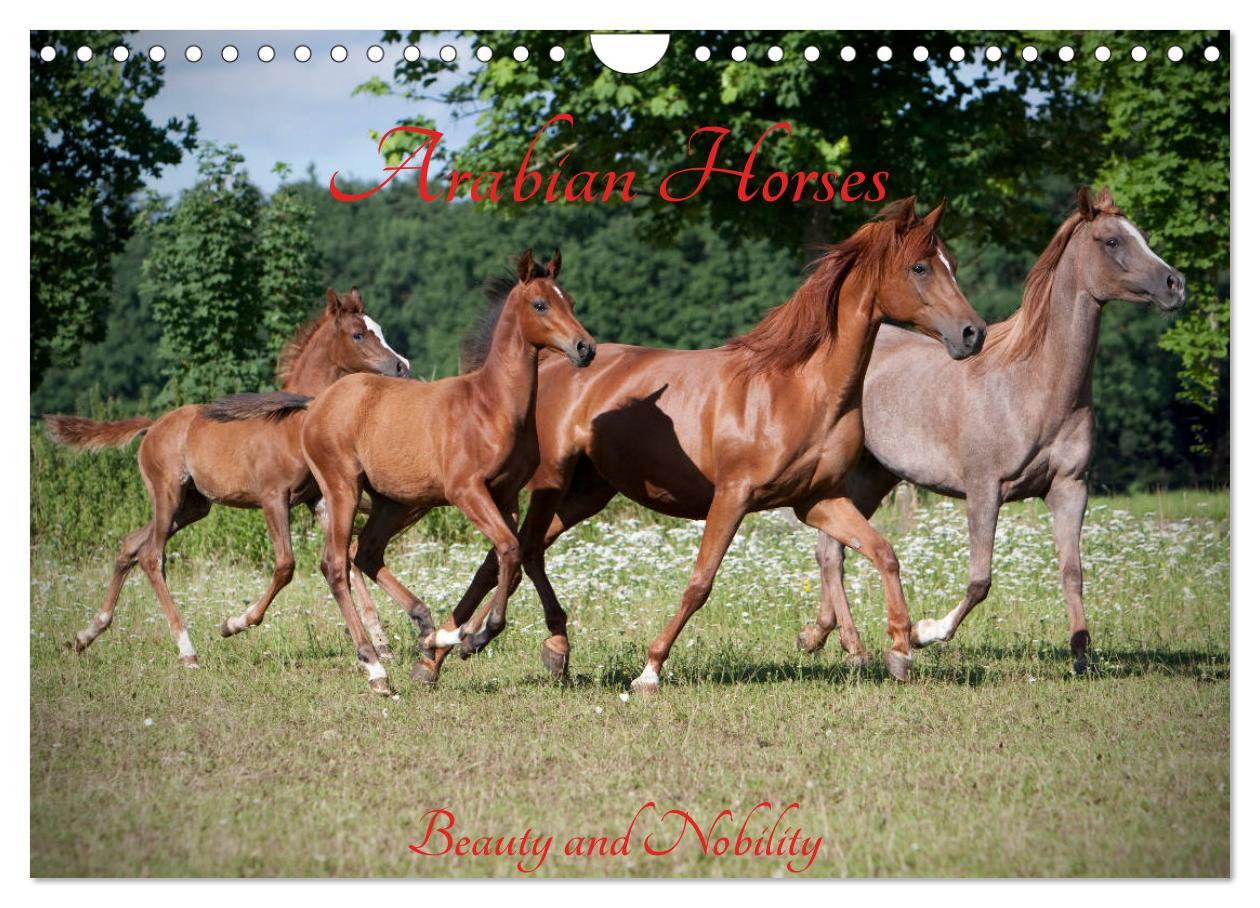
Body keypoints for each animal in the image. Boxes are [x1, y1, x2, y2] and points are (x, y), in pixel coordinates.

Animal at [44, 288, 411, 667]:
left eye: (378, 329)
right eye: (358, 334)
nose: (402, 366)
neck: (294, 423)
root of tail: (152, 425)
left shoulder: (319, 500)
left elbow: (345, 559)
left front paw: (381, 641)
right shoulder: (273, 498)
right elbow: (286, 565)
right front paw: (234, 623)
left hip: (193, 506)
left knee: (130, 544)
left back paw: (86, 634)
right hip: (167, 493)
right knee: (151, 556)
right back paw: (186, 649)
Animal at [223, 250, 595, 695]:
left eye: (570, 300)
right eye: (540, 304)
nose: (585, 348)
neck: (491, 406)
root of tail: (316, 405)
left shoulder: (505, 496)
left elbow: (511, 558)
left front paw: (458, 637)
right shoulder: (467, 491)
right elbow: (508, 550)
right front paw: (477, 636)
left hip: (393, 502)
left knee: (365, 553)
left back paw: (427, 627)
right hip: (343, 489)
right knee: (335, 564)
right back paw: (376, 666)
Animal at [423, 198, 987, 691]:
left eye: (952, 263)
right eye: (920, 267)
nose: (972, 333)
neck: (800, 387)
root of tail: (556, 358)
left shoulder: (818, 501)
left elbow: (885, 553)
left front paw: (902, 648)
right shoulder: (733, 497)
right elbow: (700, 583)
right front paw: (650, 670)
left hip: (587, 493)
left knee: (517, 552)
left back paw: (461, 650)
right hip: (551, 484)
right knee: (521, 552)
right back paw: (472, 644)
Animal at [795, 187, 1186, 674]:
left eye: (1143, 235)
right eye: (1112, 241)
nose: (1175, 284)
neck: (1034, 384)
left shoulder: (1070, 488)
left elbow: (1072, 573)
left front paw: (1081, 655)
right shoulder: (985, 490)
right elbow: (980, 580)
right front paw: (923, 633)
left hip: (873, 476)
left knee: (834, 550)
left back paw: (821, 636)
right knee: (832, 553)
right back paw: (854, 645)